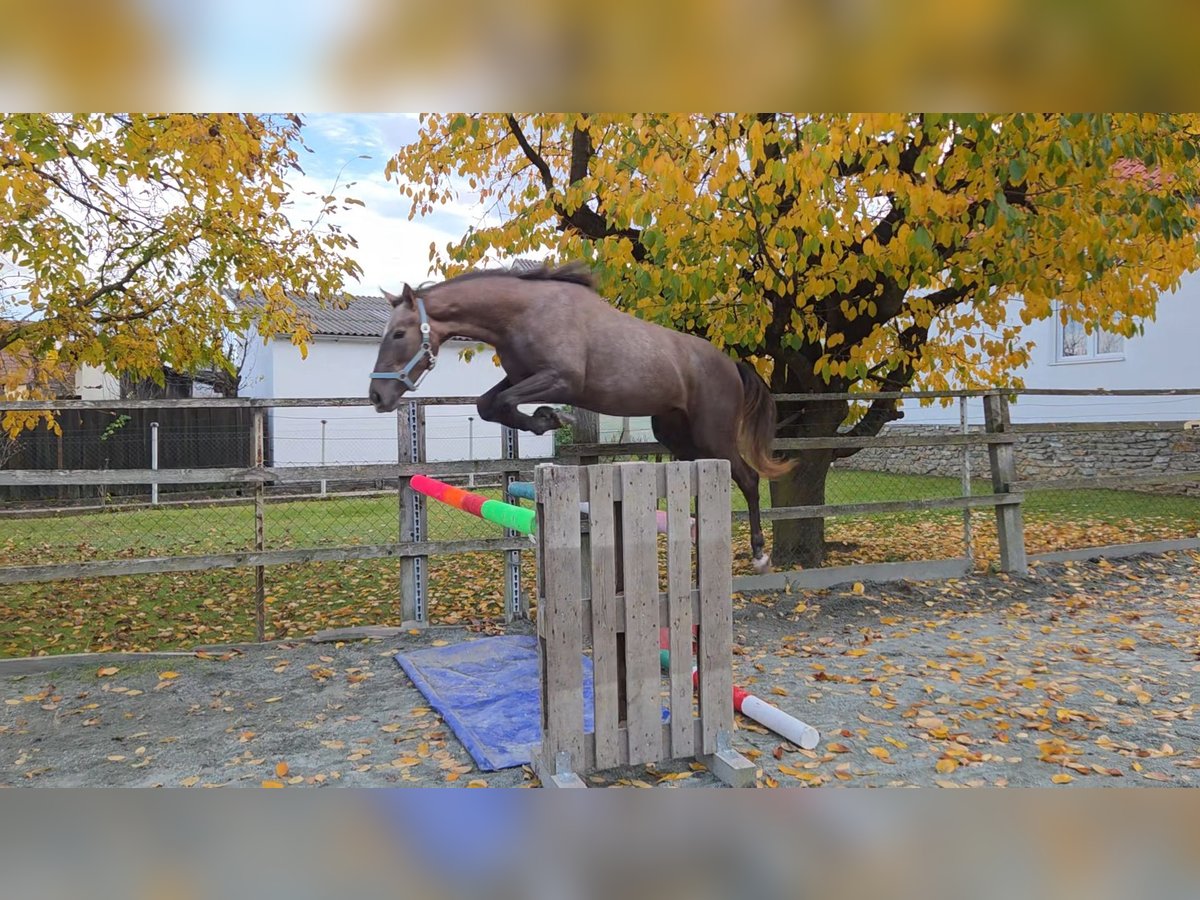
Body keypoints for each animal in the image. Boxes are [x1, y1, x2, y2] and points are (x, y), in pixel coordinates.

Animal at [368, 262, 793, 572]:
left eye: (399, 334)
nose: (377, 396)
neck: (522, 314)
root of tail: (731, 363)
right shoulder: (522, 376)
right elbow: (488, 405)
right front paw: (545, 419)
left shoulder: (561, 380)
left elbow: (504, 401)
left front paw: (552, 419)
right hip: (677, 434)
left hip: (712, 434)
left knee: (748, 479)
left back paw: (759, 554)